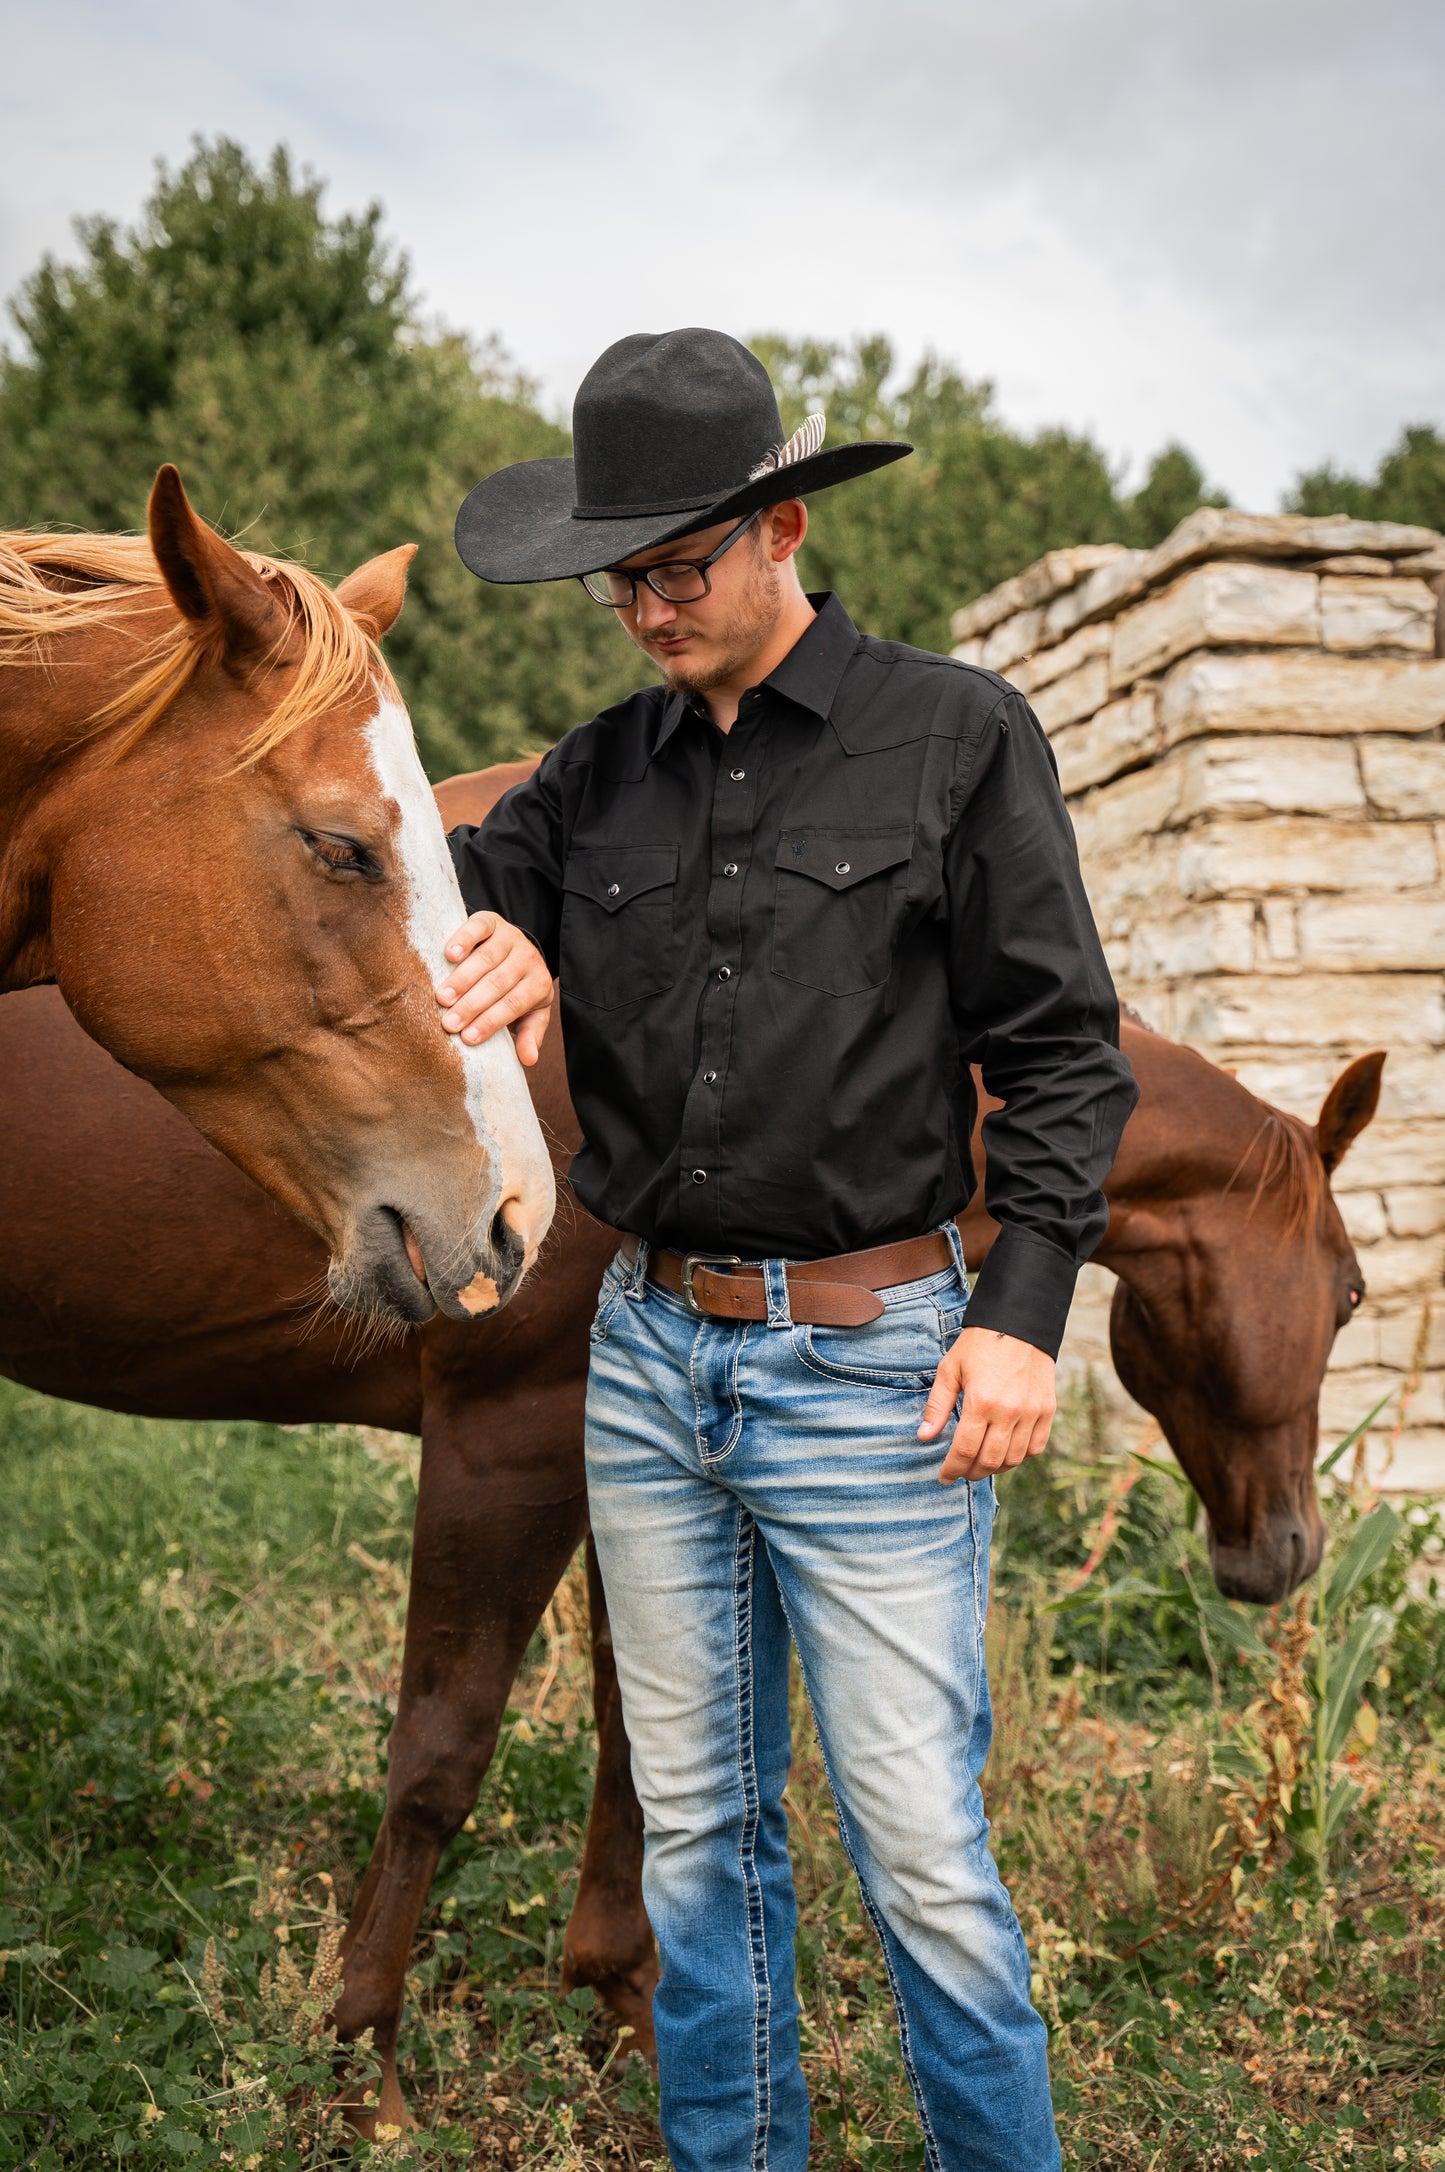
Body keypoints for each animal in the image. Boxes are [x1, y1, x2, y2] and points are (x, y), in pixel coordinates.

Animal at [0, 768, 1373, 2137]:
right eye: (1352, 1291)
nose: (1283, 1553)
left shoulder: (622, 1457)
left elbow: (639, 1732)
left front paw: (629, 2005)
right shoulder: (509, 1440)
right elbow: (441, 1752)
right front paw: (367, 2064)